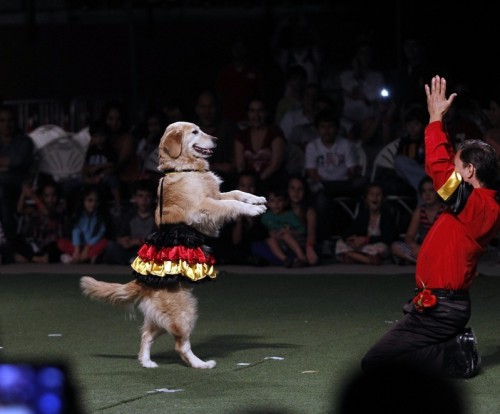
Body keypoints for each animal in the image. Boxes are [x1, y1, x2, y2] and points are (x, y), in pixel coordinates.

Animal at [79, 121, 266, 370]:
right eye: (195, 132)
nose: (216, 140)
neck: (185, 169)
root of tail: (142, 282)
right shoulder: (204, 208)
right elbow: (231, 203)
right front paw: (253, 210)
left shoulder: (215, 195)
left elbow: (235, 193)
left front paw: (256, 199)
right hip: (184, 312)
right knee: (180, 346)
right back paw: (201, 364)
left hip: (161, 317)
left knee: (146, 335)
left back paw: (147, 362)